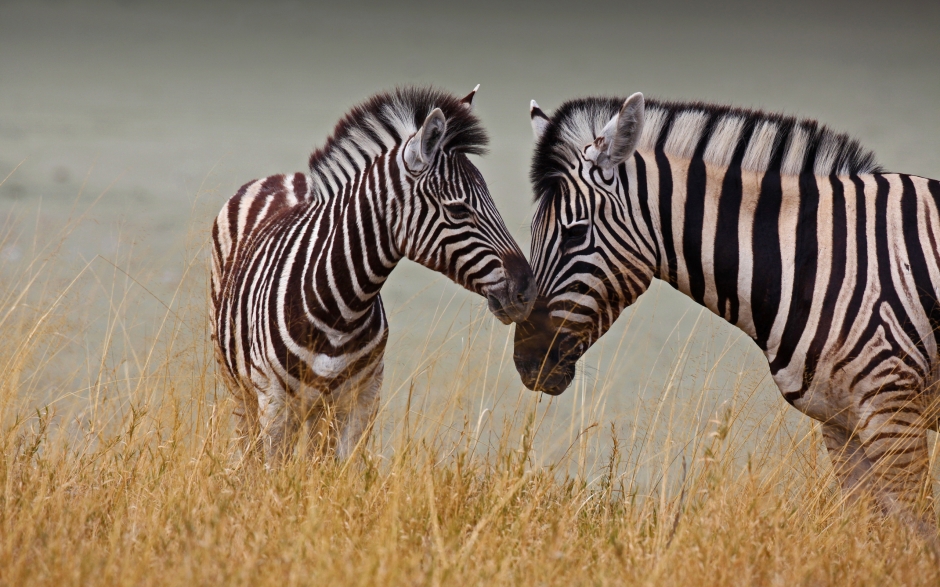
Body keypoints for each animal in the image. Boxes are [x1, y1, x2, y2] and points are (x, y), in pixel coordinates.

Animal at [213, 86, 536, 464]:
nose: (527, 291)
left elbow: (341, 470)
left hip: (318, 409)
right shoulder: (274, 401)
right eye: (458, 210)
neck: (339, 308)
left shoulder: (364, 398)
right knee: (247, 449)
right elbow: (272, 470)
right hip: (241, 389)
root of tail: (284, 176)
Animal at [516, 93, 940, 536]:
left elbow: (918, 531)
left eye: (575, 233)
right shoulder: (840, 420)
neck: (812, 257)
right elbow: (869, 531)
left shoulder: (894, 409)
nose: (526, 362)